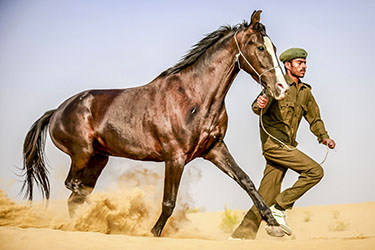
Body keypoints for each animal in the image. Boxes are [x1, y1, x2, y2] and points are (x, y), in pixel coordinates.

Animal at [22, 9, 290, 236]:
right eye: (260, 47)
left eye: (273, 47)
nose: (282, 88)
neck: (193, 97)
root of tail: (56, 111)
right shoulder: (175, 157)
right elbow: (169, 202)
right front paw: (152, 233)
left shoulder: (214, 149)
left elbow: (247, 182)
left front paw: (275, 226)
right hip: (82, 153)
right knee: (73, 187)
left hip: (98, 158)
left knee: (76, 195)